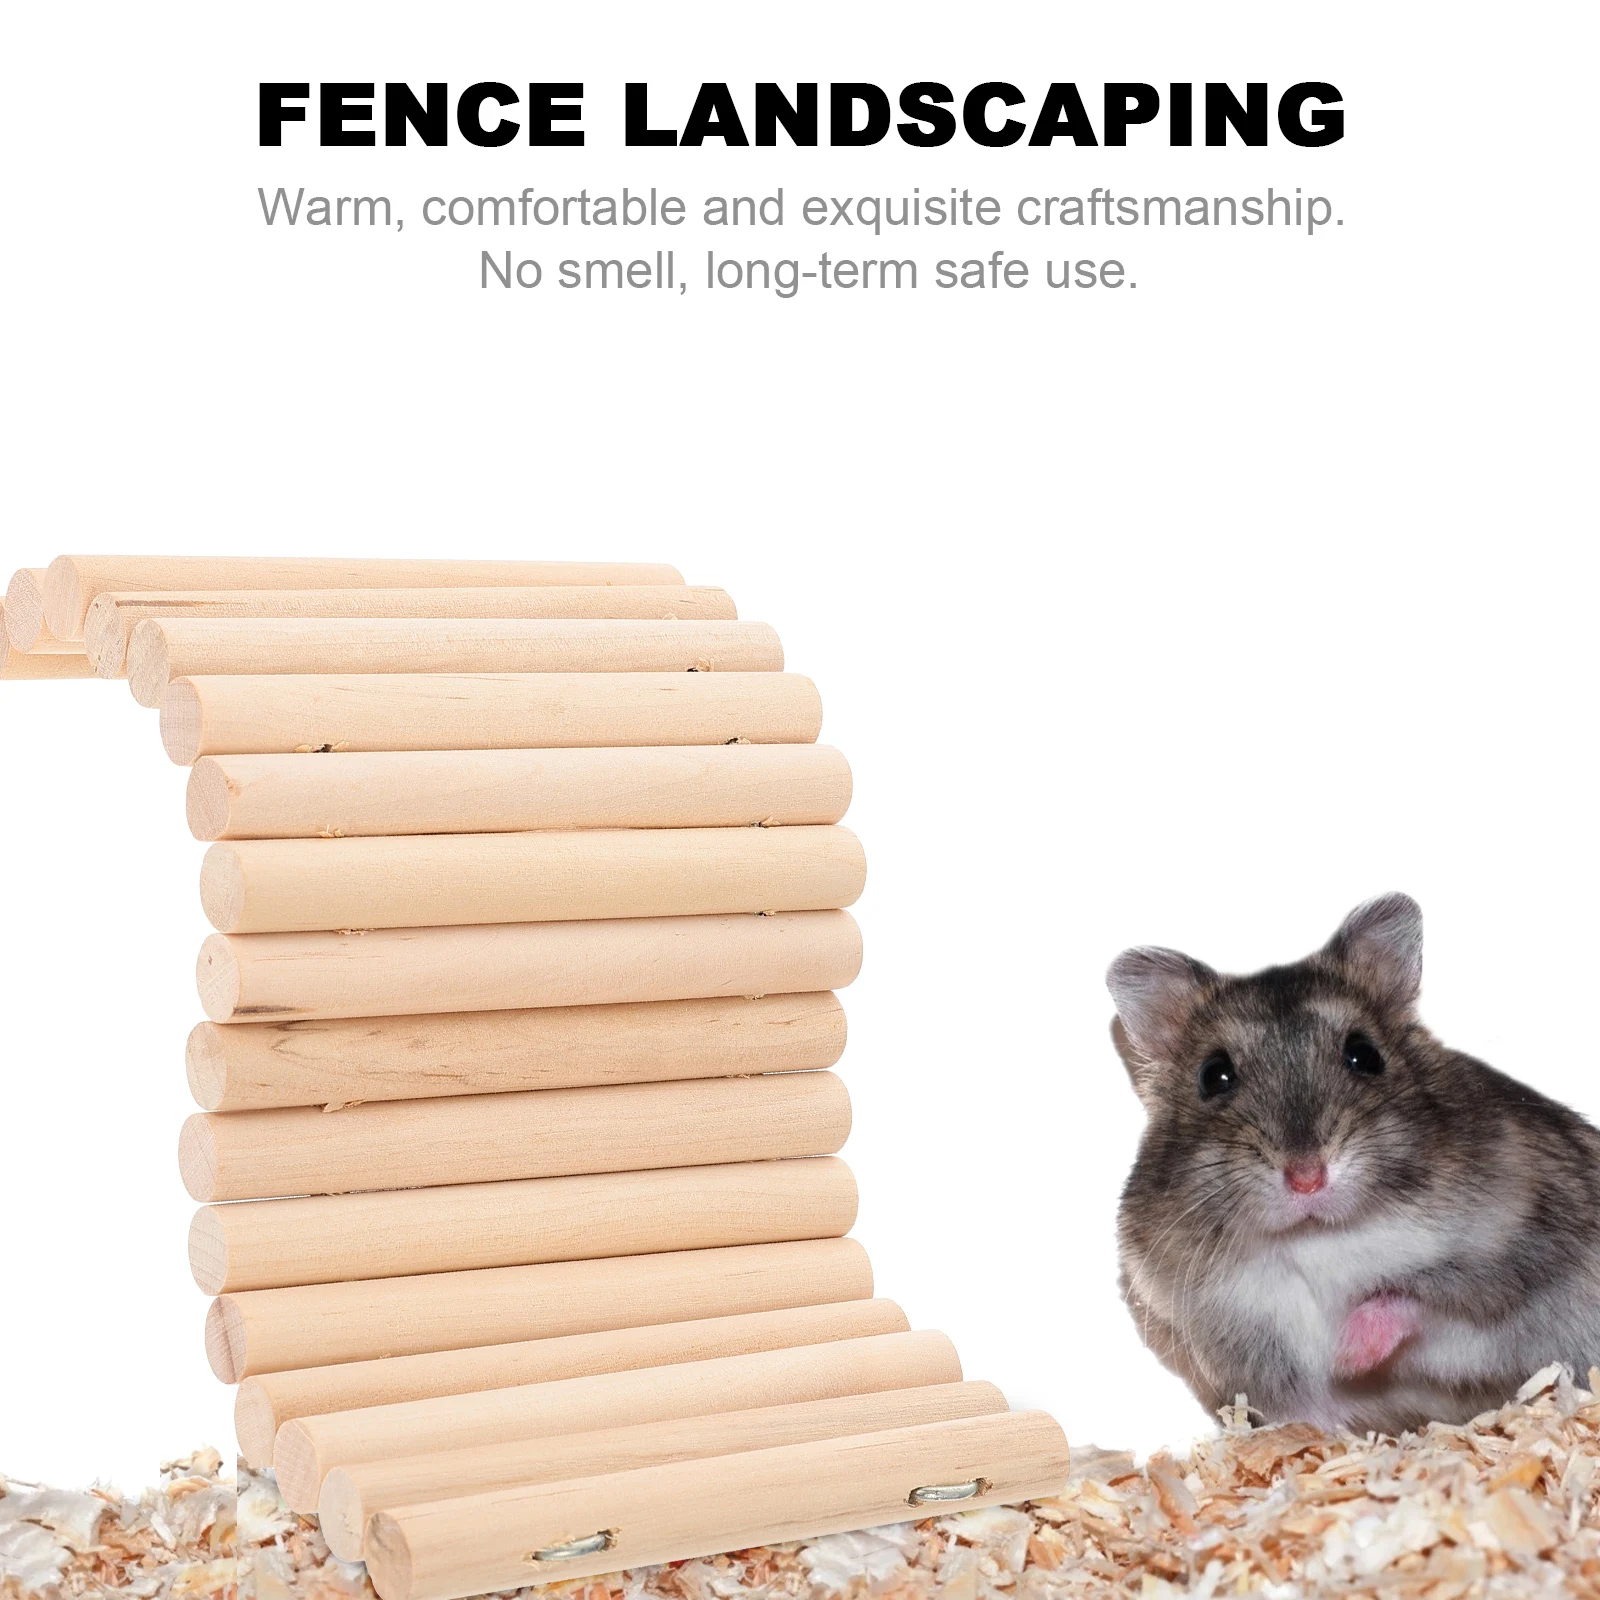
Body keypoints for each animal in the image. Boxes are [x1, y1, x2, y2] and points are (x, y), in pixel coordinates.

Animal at [1108, 893, 1600, 1435]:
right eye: (1214, 1075)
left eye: (1364, 1055)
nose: (1307, 1179)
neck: (1314, 1238)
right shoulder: (1237, 1338)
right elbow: (1305, 1410)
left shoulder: (1508, 1264)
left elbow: (1414, 1300)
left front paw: (1348, 1354)